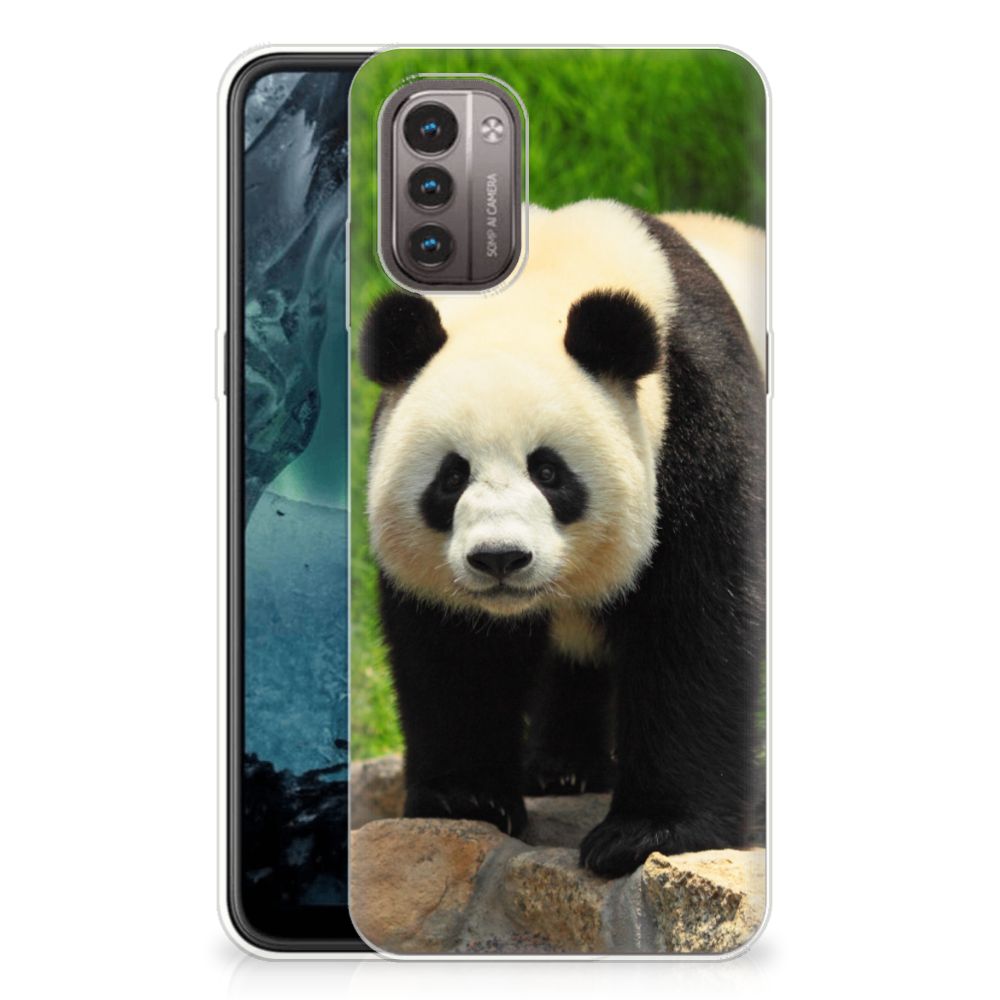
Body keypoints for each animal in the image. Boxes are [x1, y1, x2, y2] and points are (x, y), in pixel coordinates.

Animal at [359, 200, 766, 878]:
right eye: (451, 476)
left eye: (548, 472)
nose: (500, 558)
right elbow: (453, 650)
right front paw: (466, 799)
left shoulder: (698, 420)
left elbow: (694, 625)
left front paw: (647, 834)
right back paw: (562, 769)